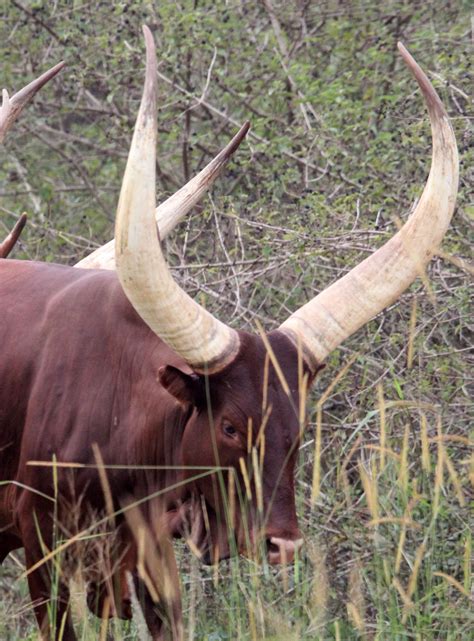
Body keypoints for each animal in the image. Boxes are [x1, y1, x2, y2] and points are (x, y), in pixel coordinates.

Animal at [0, 26, 458, 641]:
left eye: (299, 427)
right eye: (231, 426)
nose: (282, 544)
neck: (118, 409)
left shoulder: (151, 556)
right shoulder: (41, 545)